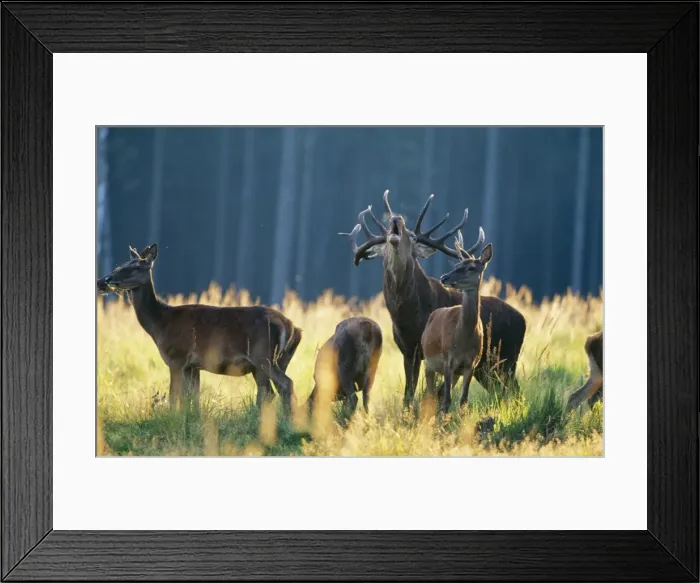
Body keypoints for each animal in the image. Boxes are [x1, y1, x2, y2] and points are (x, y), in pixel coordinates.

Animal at [96, 244, 302, 415]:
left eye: (135, 267)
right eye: (119, 266)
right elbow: (192, 399)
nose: (102, 281)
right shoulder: (193, 366)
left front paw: (172, 419)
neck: (160, 324)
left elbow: (174, 397)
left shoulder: (177, 358)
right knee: (270, 391)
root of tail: (292, 326)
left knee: (285, 384)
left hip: (263, 356)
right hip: (276, 360)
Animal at [421, 241, 493, 415]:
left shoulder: (470, 364)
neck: (463, 340)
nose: (444, 277)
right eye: (457, 264)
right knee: (431, 396)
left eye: (471, 268)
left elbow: (463, 401)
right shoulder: (449, 360)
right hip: (428, 363)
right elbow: (447, 400)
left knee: (438, 395)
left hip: (455, 373)